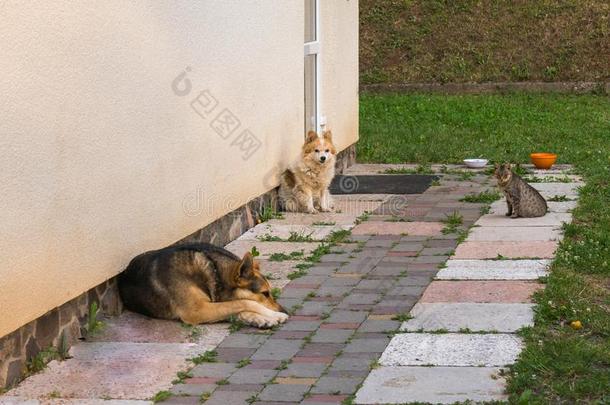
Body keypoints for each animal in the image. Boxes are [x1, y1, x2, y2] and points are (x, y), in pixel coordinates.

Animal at [121, 241, 290, 326]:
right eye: (265, 293)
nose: (286, 311)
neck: (214, 272)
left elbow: (239, 306)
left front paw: (260, 318)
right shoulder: (197, 311)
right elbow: (245, 303)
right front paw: (274, 315)